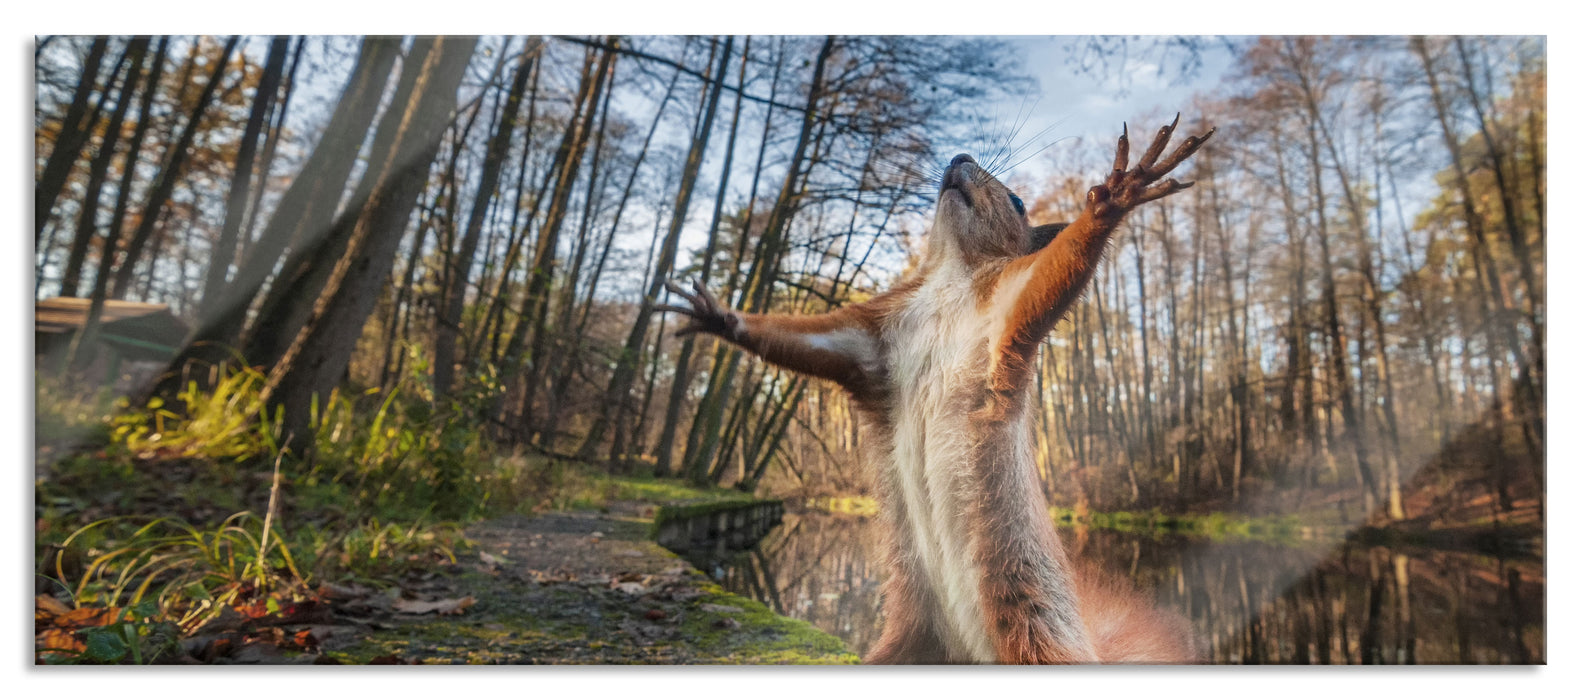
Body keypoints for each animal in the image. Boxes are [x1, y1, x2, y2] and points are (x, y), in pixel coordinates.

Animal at [654, 114, 1208, 661]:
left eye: (1018, 202)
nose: (960, 157)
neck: (949, 275)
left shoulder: (1006, 310)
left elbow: (1055, 275)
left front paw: (1116, 195)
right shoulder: (874, 342)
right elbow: (804, 339)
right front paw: (720, 317)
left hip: (1029, 629)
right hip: (908, 639)